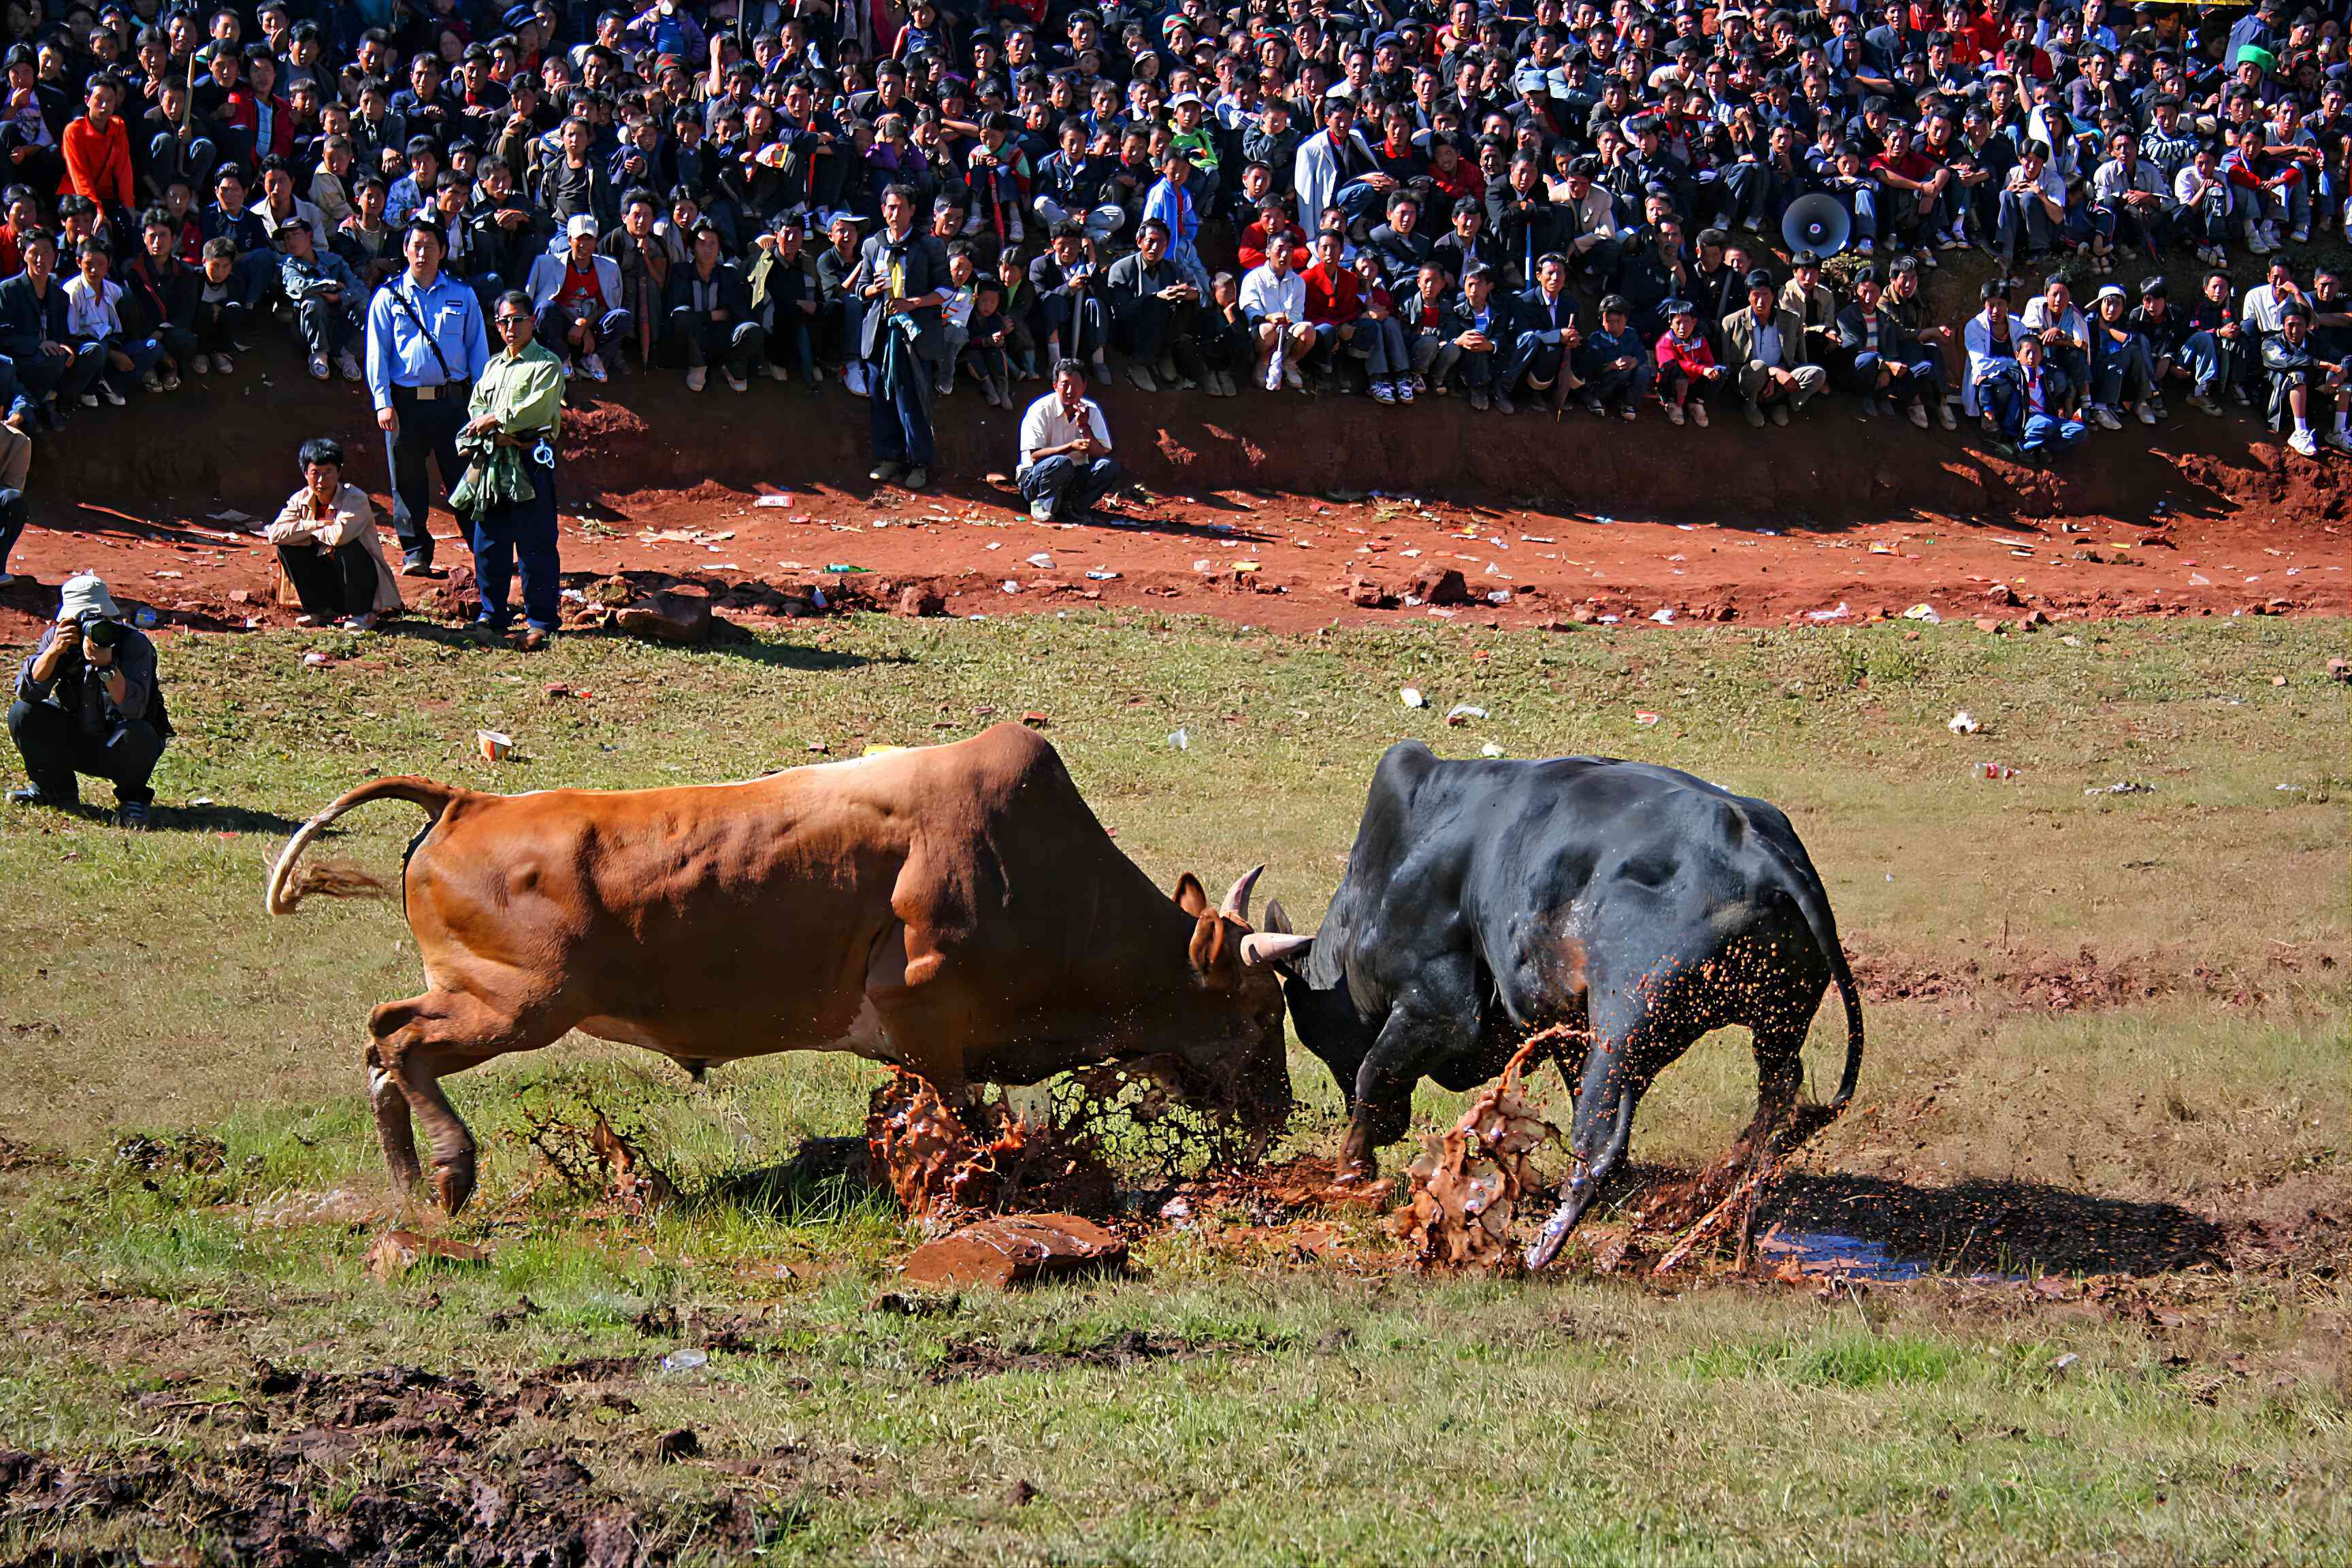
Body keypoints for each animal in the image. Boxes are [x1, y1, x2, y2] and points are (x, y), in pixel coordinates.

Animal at [269, 723, 1298, 1213]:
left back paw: (407, 1188)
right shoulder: (925, 1019)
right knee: (398, 1039)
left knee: (383, 1044)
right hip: (515, 1006)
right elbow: (960, 1122)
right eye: (1259, 1012)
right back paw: (448, 1173)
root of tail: (466, 801)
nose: (1281, 1111)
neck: (1040, 869)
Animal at [1241, 742, 1863, 1269]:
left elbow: (1375, 1068)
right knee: (1775, 1115)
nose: (1392, 1127)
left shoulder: (1439, 1008)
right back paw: (1705, 1223)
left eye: (1310, 1030)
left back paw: (1542, 1251)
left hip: (1625, 1024)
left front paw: (1352, 1170)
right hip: (1772, 1021)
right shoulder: (1565, 1026)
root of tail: (1758, 846)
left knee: (1603, 1143)